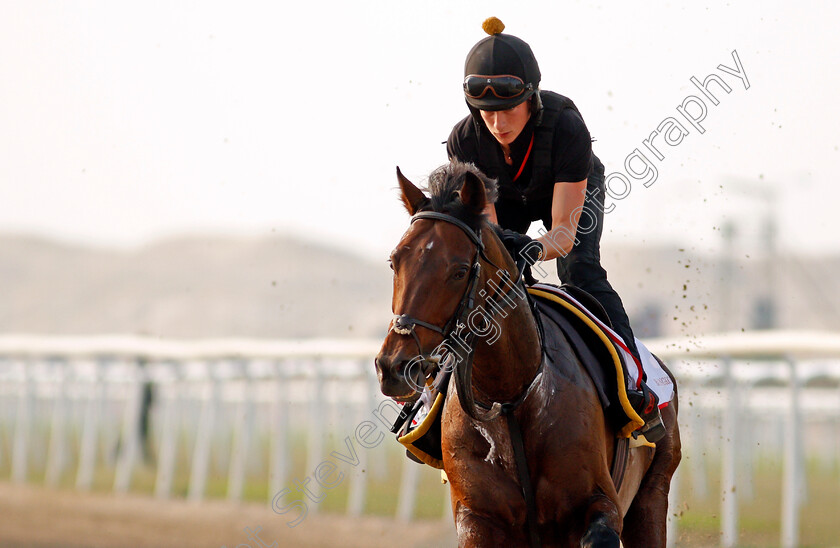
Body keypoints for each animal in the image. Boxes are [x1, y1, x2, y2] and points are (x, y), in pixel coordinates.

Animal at [374, 163, 684, 548]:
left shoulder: (598, 501)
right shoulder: (477, 518)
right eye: (394, 262)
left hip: (652, 494)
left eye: (459, 270)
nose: (394, 366)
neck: (509, 397)